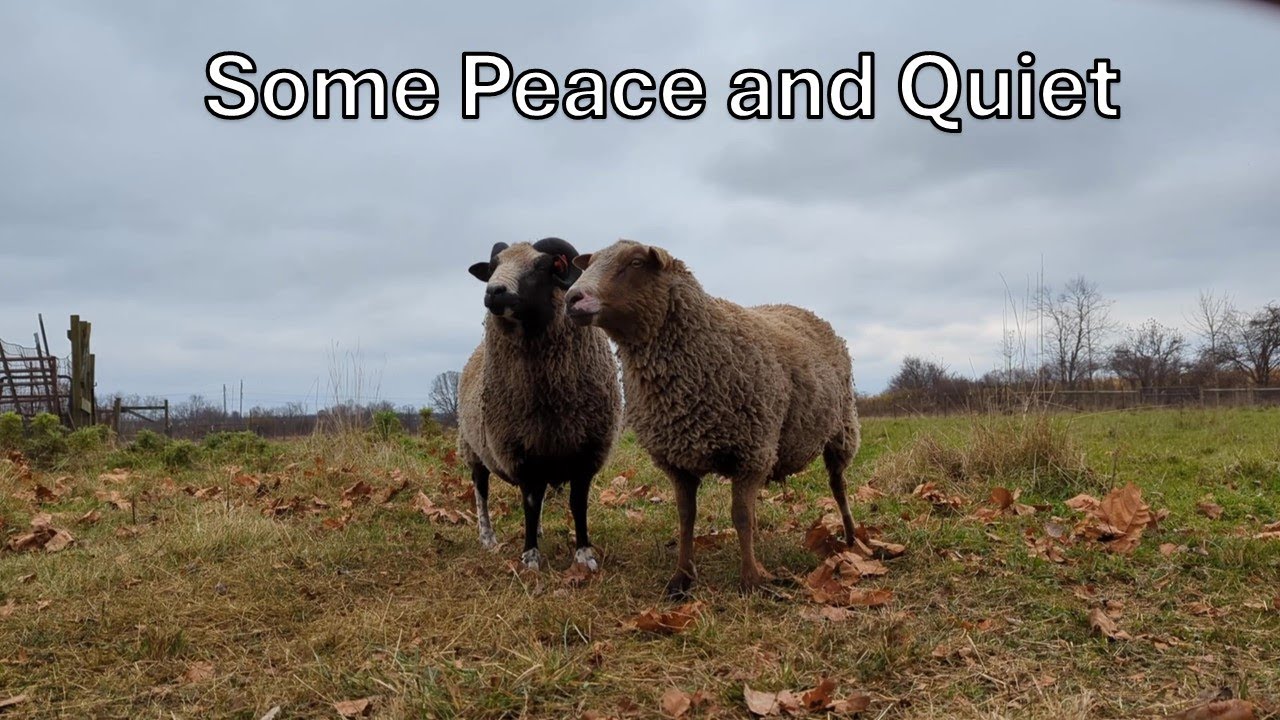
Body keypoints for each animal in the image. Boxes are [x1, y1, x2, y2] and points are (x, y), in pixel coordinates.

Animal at [457, 237, 622, 572]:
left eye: (541, 267)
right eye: (493, 267)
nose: (494, 292)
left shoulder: (587, 450)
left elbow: (577, 504)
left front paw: (584, 554)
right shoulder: (520, 451)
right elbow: (529, 504)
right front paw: (530, 556)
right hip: (473, 447)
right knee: (481, 491)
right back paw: (487, 537)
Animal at [564, 239, 861, 598]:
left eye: (635, 263)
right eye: (590, 262)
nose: (572, 298)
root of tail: (801, 309)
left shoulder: (752, 452)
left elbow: (740, 516)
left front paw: (750, 580)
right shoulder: (678, 461)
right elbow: (686, 518)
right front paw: (681, 578)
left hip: (842, 429)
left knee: (838, 485)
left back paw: (851, 538)